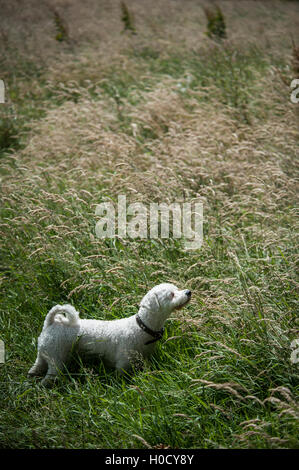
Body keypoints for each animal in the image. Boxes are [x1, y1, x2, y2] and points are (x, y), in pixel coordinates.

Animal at [28, 282, 192, 386]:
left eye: (177, 289)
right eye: (171, 294)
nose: (188, 292)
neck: (142, 327)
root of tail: (51, 322)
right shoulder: (123, 364)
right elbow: (120, 378)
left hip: (45, 353)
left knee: (36, 367)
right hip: (56, 359)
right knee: (49, 377)